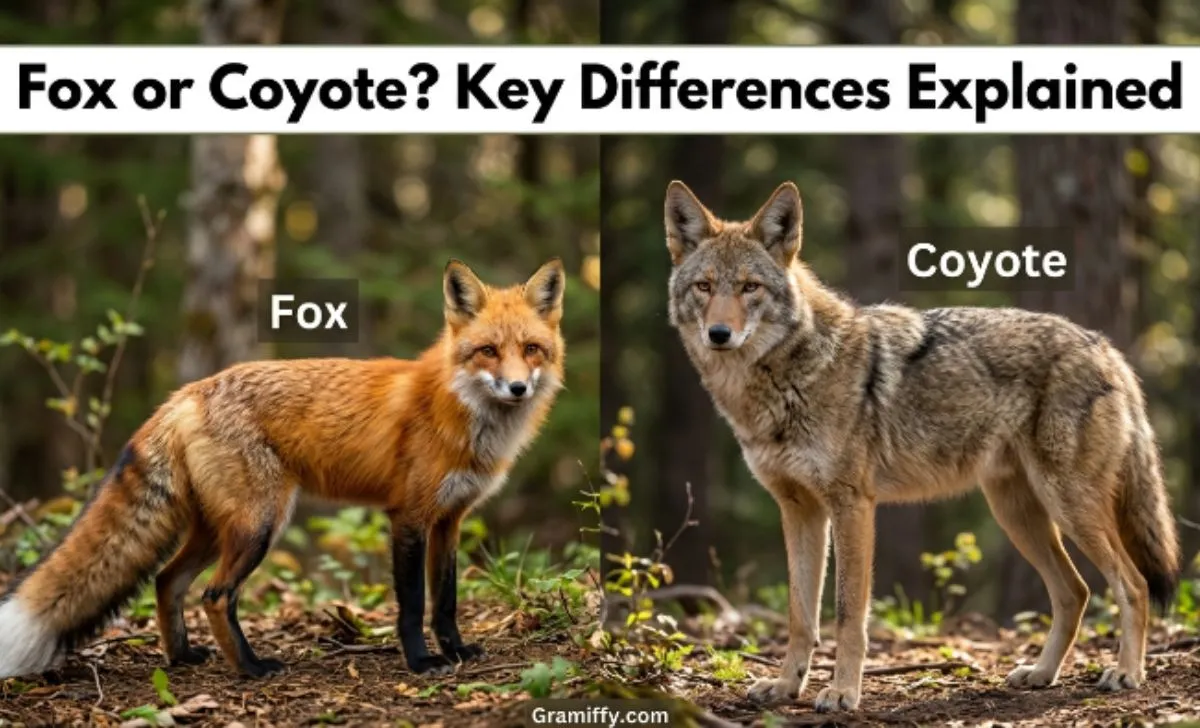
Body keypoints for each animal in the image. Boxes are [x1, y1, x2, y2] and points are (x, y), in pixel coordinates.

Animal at [0, 258, 566, 680]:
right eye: (488, 351)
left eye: (531, 349)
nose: (518, 388)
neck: (461, 414)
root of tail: (186, 393)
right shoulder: (407, 517)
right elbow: (411, 604)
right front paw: (422, 662)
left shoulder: (449, 519)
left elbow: (445, 600)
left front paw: (455, 651)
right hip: (260, 525)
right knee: (214, 596)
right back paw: (251, 668)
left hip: (218, 528)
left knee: (167, 580)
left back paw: (182, 657)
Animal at [662, 181, 1181, 713]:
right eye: (704, 287)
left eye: (750, 287)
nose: (719, 334)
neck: (783, 379)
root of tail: (1104, 346)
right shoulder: (799, 509)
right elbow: (800, 615)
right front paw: (787, 686)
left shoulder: (852, 506)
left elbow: (848, 615)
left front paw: (843, 692)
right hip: (1018, 515)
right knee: (1074, 592)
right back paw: (1041, 673)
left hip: (1069, 507)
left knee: (1133, 584)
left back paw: (1126, 673)